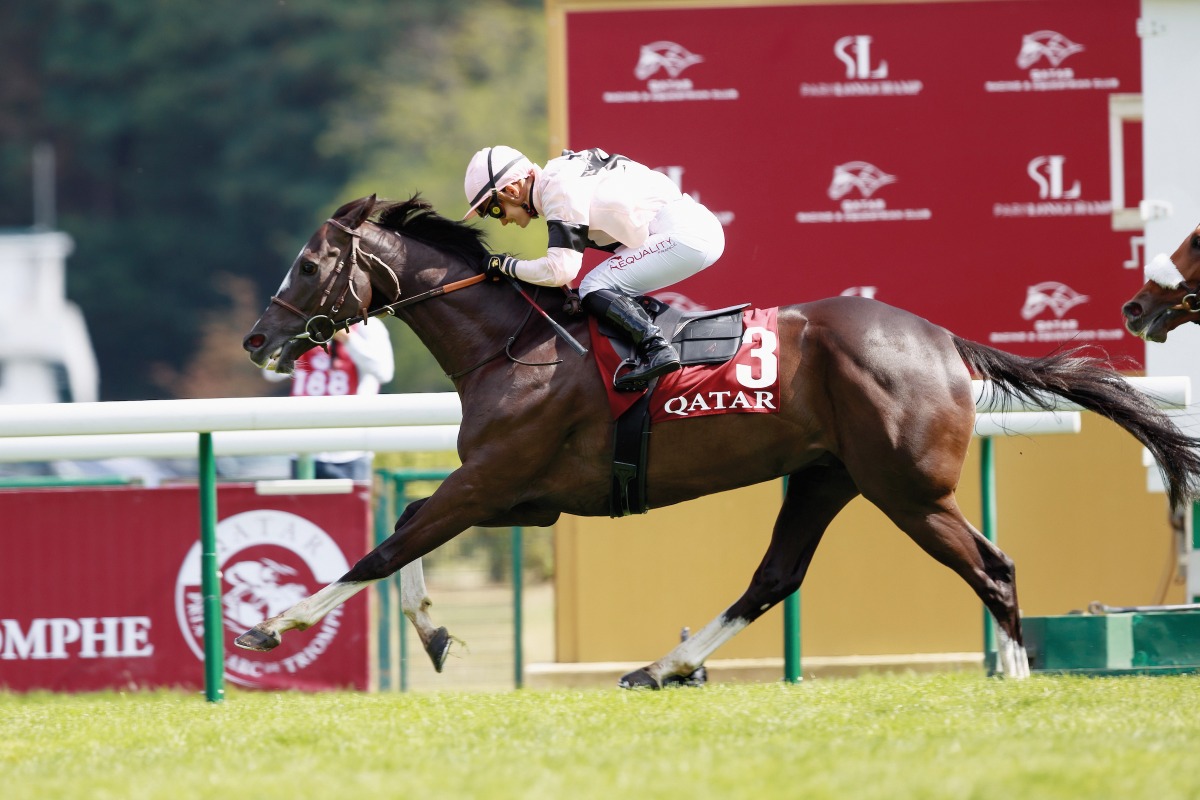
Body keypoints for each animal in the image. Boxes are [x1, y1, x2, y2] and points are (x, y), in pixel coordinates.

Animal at [236, 195, 1200, 690]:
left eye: (310, 265)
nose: (256, 340)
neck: (513, 344)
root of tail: (943, 340)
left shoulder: (492, 481)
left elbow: (386, 545)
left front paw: (274, 622)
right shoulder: (523, 496)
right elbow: (406, 539)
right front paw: (433, 632)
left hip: (908, 489)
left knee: (992, 566)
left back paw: (1017, 679)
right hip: (825, 477)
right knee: (774, 578)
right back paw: (663, 666)